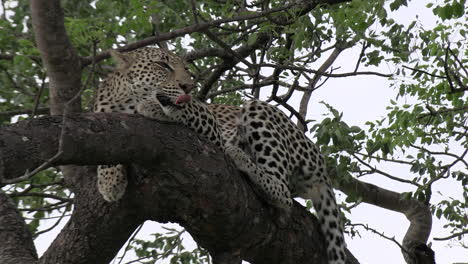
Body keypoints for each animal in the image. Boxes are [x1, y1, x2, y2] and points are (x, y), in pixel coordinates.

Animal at [141, 82, 346, 264]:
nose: (181, 88)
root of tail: (322, 172)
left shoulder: (216, 132)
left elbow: (191, 110)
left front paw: (153, 105)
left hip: (259, 110)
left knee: (283, 193)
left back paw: (238, 156)